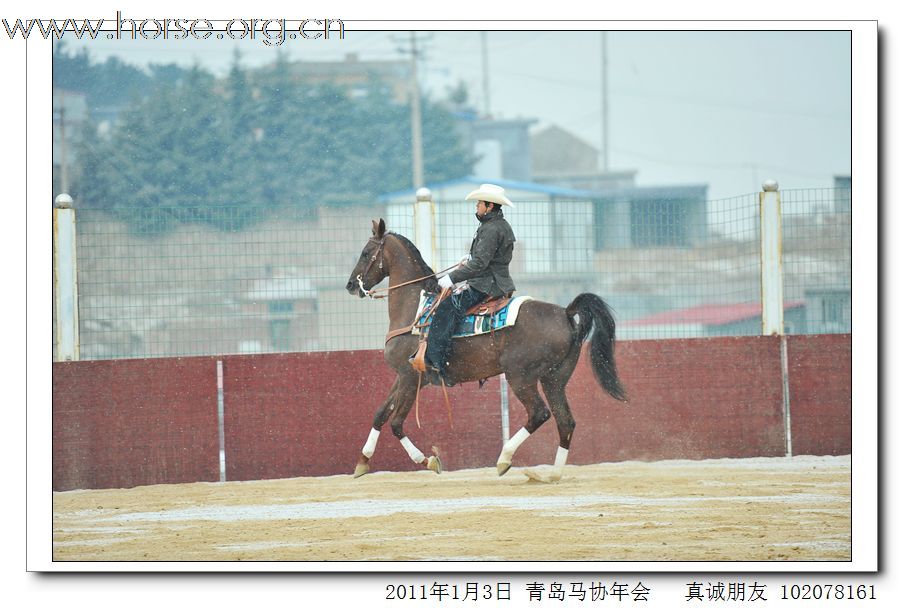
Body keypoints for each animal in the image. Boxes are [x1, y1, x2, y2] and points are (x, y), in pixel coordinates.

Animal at [342, 218, 624, 480]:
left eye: (365, 253)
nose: (351, 285)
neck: (415, 309)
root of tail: (566, 313)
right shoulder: (405, 377)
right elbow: (380, 414)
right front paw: (362, 462)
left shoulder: (411, 377)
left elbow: (396, 423)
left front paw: (429, 461)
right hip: (554, 380)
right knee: (565, 422)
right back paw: (551, 475)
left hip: (520, 377)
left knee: (539, 414)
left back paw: (504, 458)